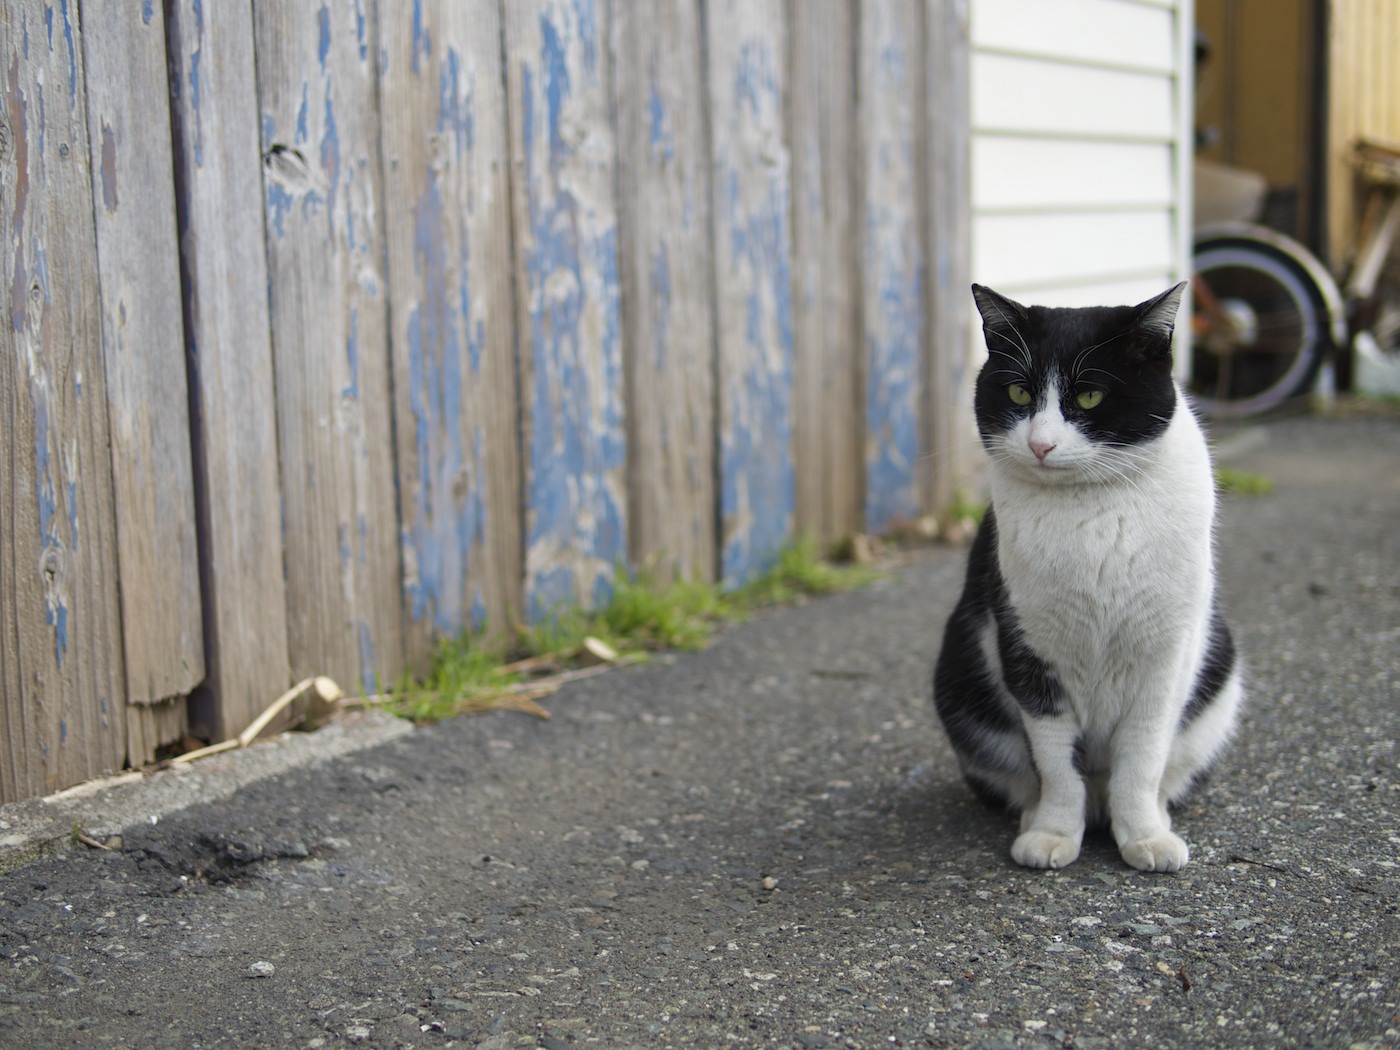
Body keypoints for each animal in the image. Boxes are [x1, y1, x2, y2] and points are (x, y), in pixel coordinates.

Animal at [935, 281, 1243, 873]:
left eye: (1090, 398)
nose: (1041, 444)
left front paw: (1146, 836)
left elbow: (1142, 757)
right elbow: (1057, 764)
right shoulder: (1027, 650)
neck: (1092, 508)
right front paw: (1052, 834)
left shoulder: (1167, 653)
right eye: (1018, 394)